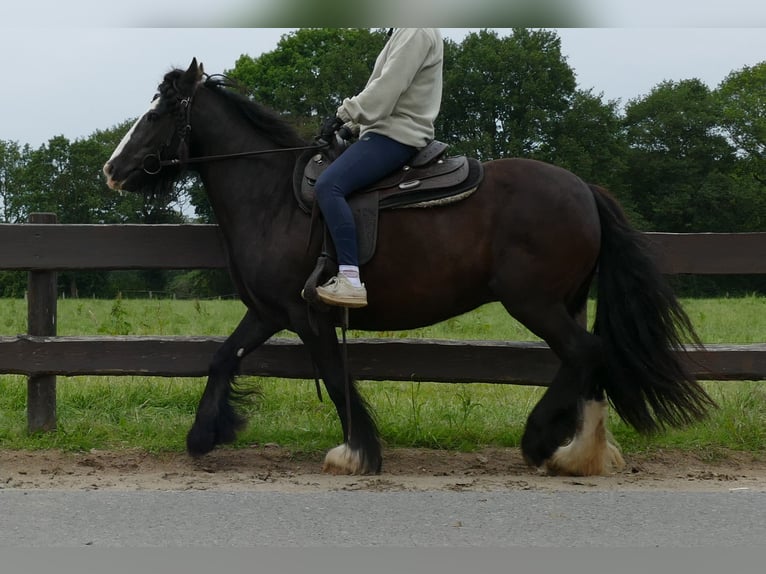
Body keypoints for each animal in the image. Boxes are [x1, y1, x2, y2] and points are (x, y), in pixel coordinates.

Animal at [102, 60, 712, 480]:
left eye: (156, 114)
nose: (112, 169)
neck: (271, 196)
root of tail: (584, 188)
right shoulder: (269, 311)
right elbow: (223, 357)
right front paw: (203, 435)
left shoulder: (306, 314)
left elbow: (333, 375)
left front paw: (356, 452)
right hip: (566, 301)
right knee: (585, 360)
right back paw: (575, 450)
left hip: (534, 301)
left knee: (585, 352)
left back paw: (545, 443)